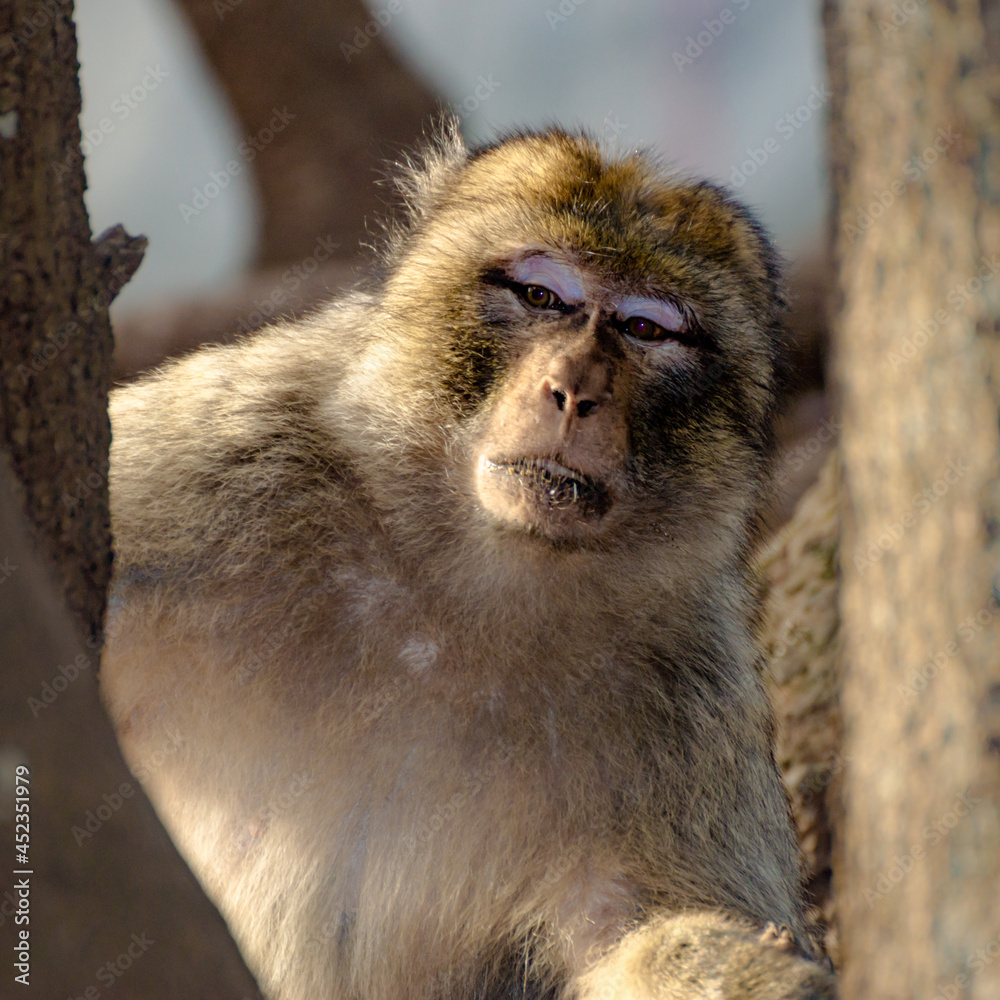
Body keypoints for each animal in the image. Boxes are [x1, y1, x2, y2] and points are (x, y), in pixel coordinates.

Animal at [100, 122, 837, 1000]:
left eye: (645, 330)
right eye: (542, 297)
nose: (573, 390)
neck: (467, 583)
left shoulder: (693, 697)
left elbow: (624, 926)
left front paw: (750, 972)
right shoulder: (230, 453)